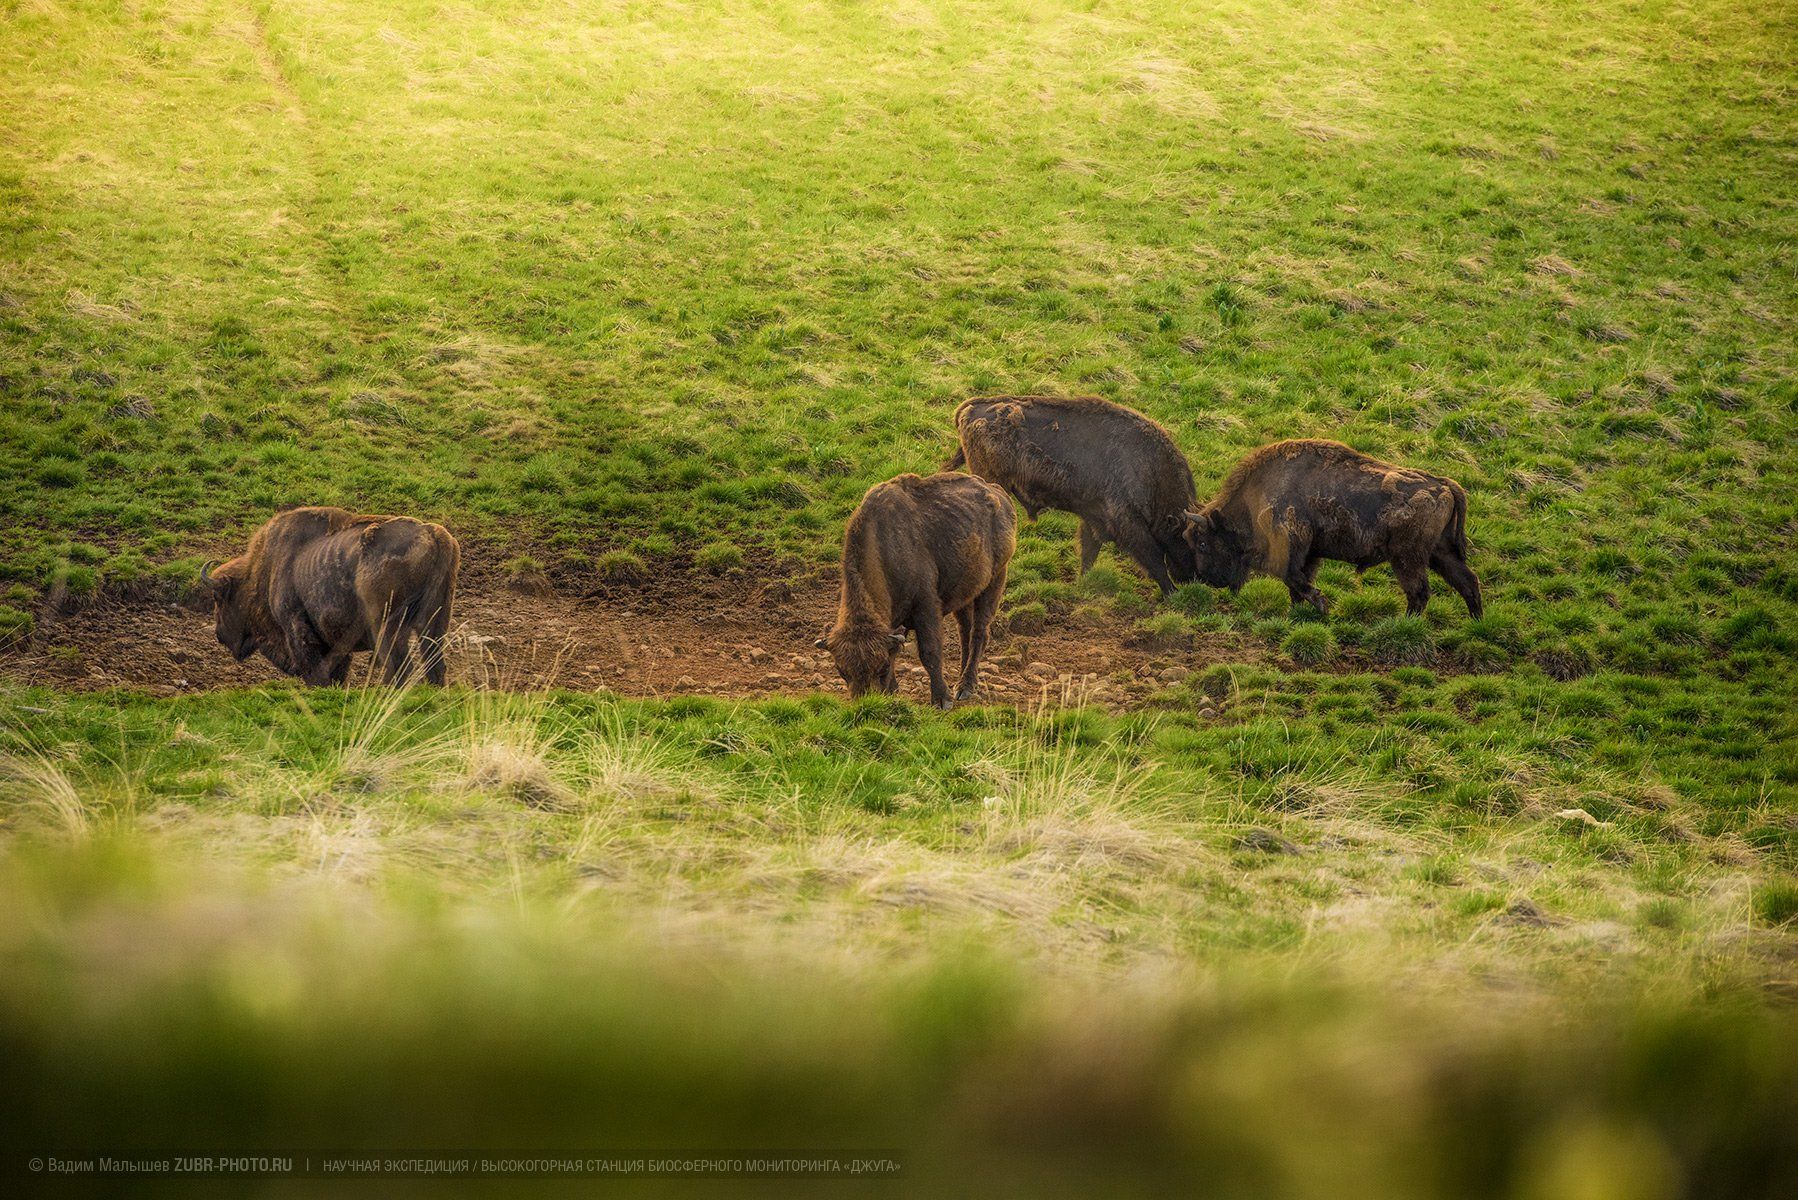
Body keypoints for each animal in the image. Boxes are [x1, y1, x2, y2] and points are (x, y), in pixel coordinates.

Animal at [200, 507, 460, 683]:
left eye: (218, 598)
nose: (220, 635)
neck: (262, 571)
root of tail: (434, 534)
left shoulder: (296, 626)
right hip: (435, 622)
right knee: (434, 664)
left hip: (386, 625)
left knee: (398, 666)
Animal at [812, 471, 1014, 712]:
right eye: (841, 670)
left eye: (881, 667)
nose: (865, 701)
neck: (886, 549)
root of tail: (999, 494)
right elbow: (897, 650)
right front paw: (893, 691)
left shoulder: (926, 607)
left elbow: (929, 652)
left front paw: (942, 699)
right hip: (964, 594)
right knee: (965, 631)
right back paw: (960, 682)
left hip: (995, 580)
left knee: (979, 633)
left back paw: (966, 687)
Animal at [949, 394, 1201, 597]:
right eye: (1190, 541)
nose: (1194, 578)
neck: (1152, 469)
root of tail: (971, 407)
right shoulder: (1128, 523)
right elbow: (1153, 557)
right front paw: (1172, 592)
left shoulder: (1094, 516)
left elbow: (1089, 550)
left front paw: (1082, 581)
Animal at [1172, 438, 1481, 618]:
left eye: (1203, 543)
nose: (1208, 579)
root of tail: (1444, 485)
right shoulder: (1309, 554)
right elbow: (1296, 583)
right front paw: (1297, 613)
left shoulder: (1293, 546)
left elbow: (1293, 578)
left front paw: (1321, 605)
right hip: (1439, 553)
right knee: (1467, 581)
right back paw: (1476, 621)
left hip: (1408, 557)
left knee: (1419, 592)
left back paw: (1406, 625)